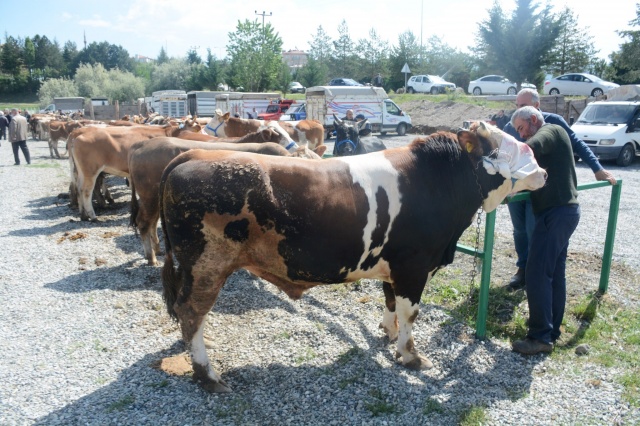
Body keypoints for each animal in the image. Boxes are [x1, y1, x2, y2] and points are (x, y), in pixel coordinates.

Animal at [159, 120, 544, 392]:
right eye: (507, 146)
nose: (543, 172)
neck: (437, 182)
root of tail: (192, 155)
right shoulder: (414, 266)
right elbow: (410, 312)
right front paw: (411, 355)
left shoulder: (394, 266)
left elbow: (391, 303)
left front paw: (388, 333)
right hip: (206, 264)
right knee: (191, 312)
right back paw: (208, 375)